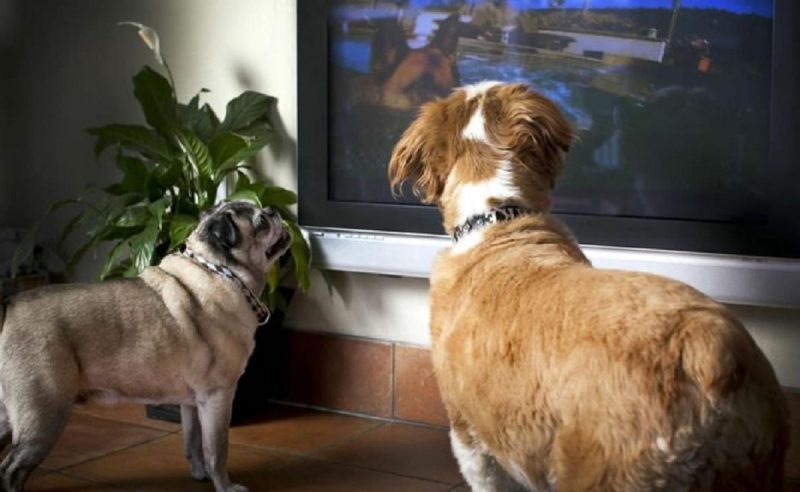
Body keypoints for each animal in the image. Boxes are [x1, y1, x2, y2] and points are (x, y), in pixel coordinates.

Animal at [0, 201, 290, 492]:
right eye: (261, 222)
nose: (273, 210)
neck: (219, 271)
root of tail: (9, 307)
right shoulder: (218, 395)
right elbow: (217, 451)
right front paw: (224, 486)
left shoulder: (193, 403)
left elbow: (194, 444)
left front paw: (200, 473)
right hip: (46, 414)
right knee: (12, 468)